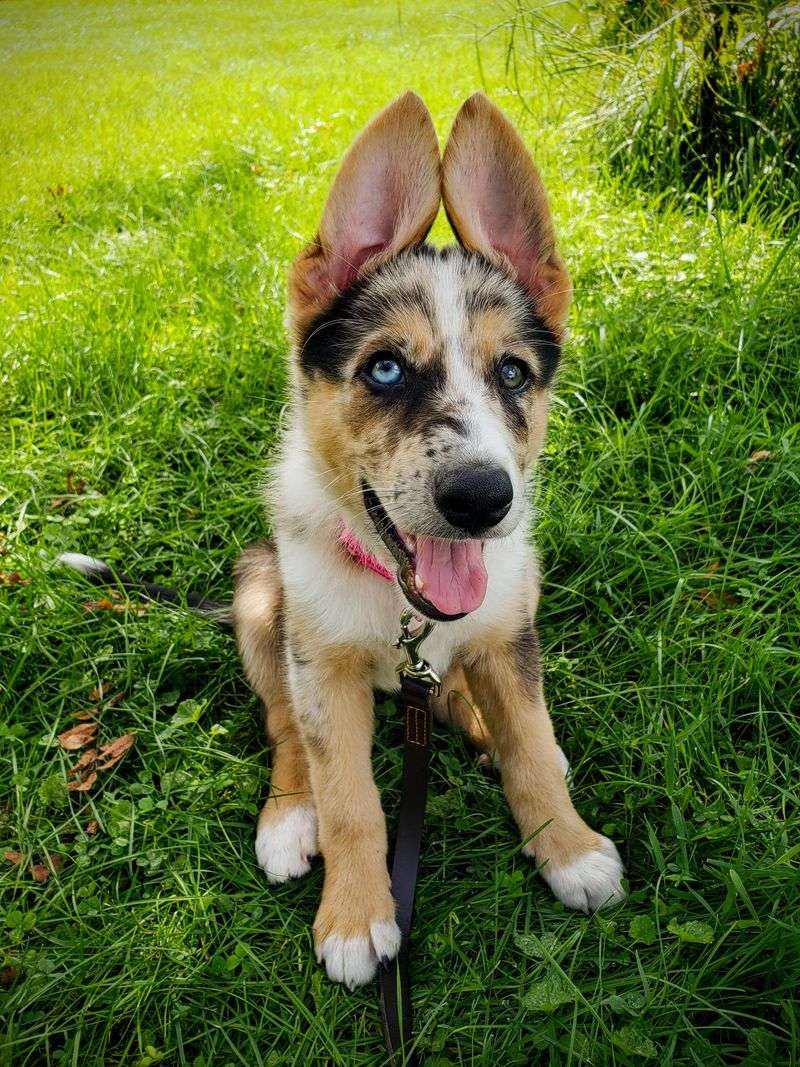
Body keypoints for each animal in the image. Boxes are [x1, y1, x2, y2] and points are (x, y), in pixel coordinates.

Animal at [233, 91, 627, 990]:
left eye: (513, 373)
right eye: (384, 369)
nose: (483, 498)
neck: (397, 600)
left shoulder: (511, 633)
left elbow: (531, 743)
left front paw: (567, 846)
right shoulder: (323, 667)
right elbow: (349, 797)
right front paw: (354, 917)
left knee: (468, 697)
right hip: (260, 597)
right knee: (283, 728)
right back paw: (288, 817)